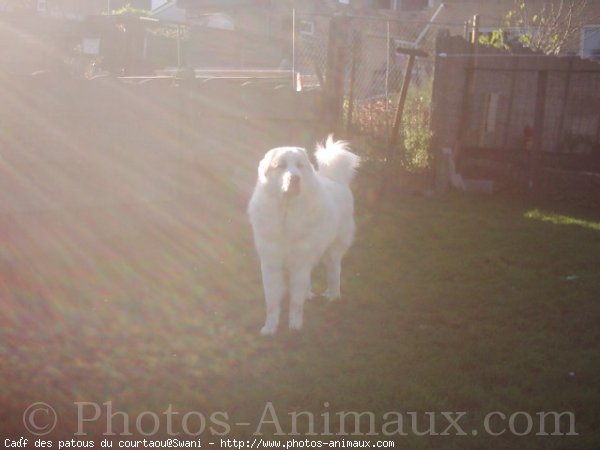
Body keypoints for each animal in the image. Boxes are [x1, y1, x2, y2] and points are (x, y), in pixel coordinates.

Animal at [246, 136, 358, 334]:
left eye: (299, 166)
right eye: (281, 166)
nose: (295, 178)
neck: (286, 213)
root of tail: (336, 181)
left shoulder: (300, 262)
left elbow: (295, 302)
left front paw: (294, 326)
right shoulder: (271, 265)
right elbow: (272, 303)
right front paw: (270, 328)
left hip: (332, 252)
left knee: (334, 272)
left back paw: (333, 296)